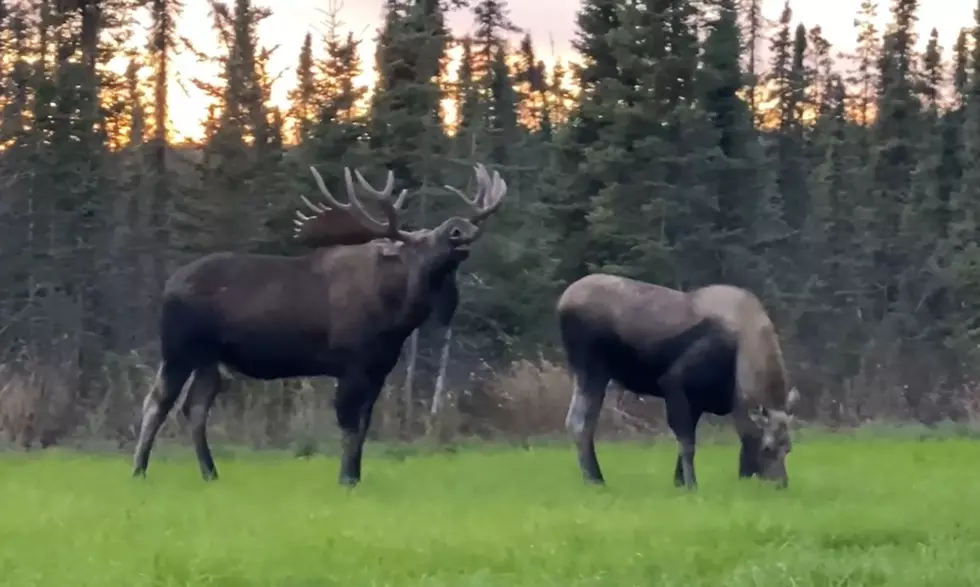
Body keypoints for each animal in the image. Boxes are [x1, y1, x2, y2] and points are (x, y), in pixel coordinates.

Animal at [131, 162, 510, 486]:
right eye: (418, 241)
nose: (459, 228)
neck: (398, 318)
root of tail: (169, 284)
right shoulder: (351, 365)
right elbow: (348, 424)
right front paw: (346, 479)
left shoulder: (379, 369)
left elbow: (363, 426)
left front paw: (355, 476)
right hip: (179, 349)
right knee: (157, 402)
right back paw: (139, 470)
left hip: (211, 359)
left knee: (194, 408)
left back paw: (210, 473)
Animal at [556, 276, 800, 492]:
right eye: (767, 447)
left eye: (788, 447)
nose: (781, 484)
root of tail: (562, 303)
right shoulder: (674, 383)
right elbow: (687, 442)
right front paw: (692, 485)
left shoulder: (699, 400)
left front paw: (679, 482)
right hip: (592, 368)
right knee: (579, 422)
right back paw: (595, 480)